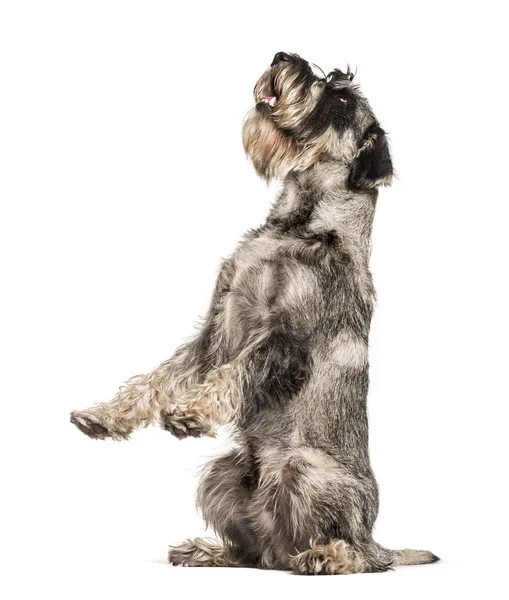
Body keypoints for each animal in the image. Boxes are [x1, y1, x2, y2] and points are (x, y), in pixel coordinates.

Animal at [70, 51, 436, 572]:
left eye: (342, 99)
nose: (285, 57)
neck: (299, 224)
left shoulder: (285, 342)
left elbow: (235, 373)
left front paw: (190, 413)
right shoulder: (215, 330)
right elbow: (159, 377)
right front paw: (104, 415)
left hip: (303, 470)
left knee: (358, 555)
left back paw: (325, 557)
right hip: (224, 471)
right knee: (257, 552)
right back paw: (206, 551)